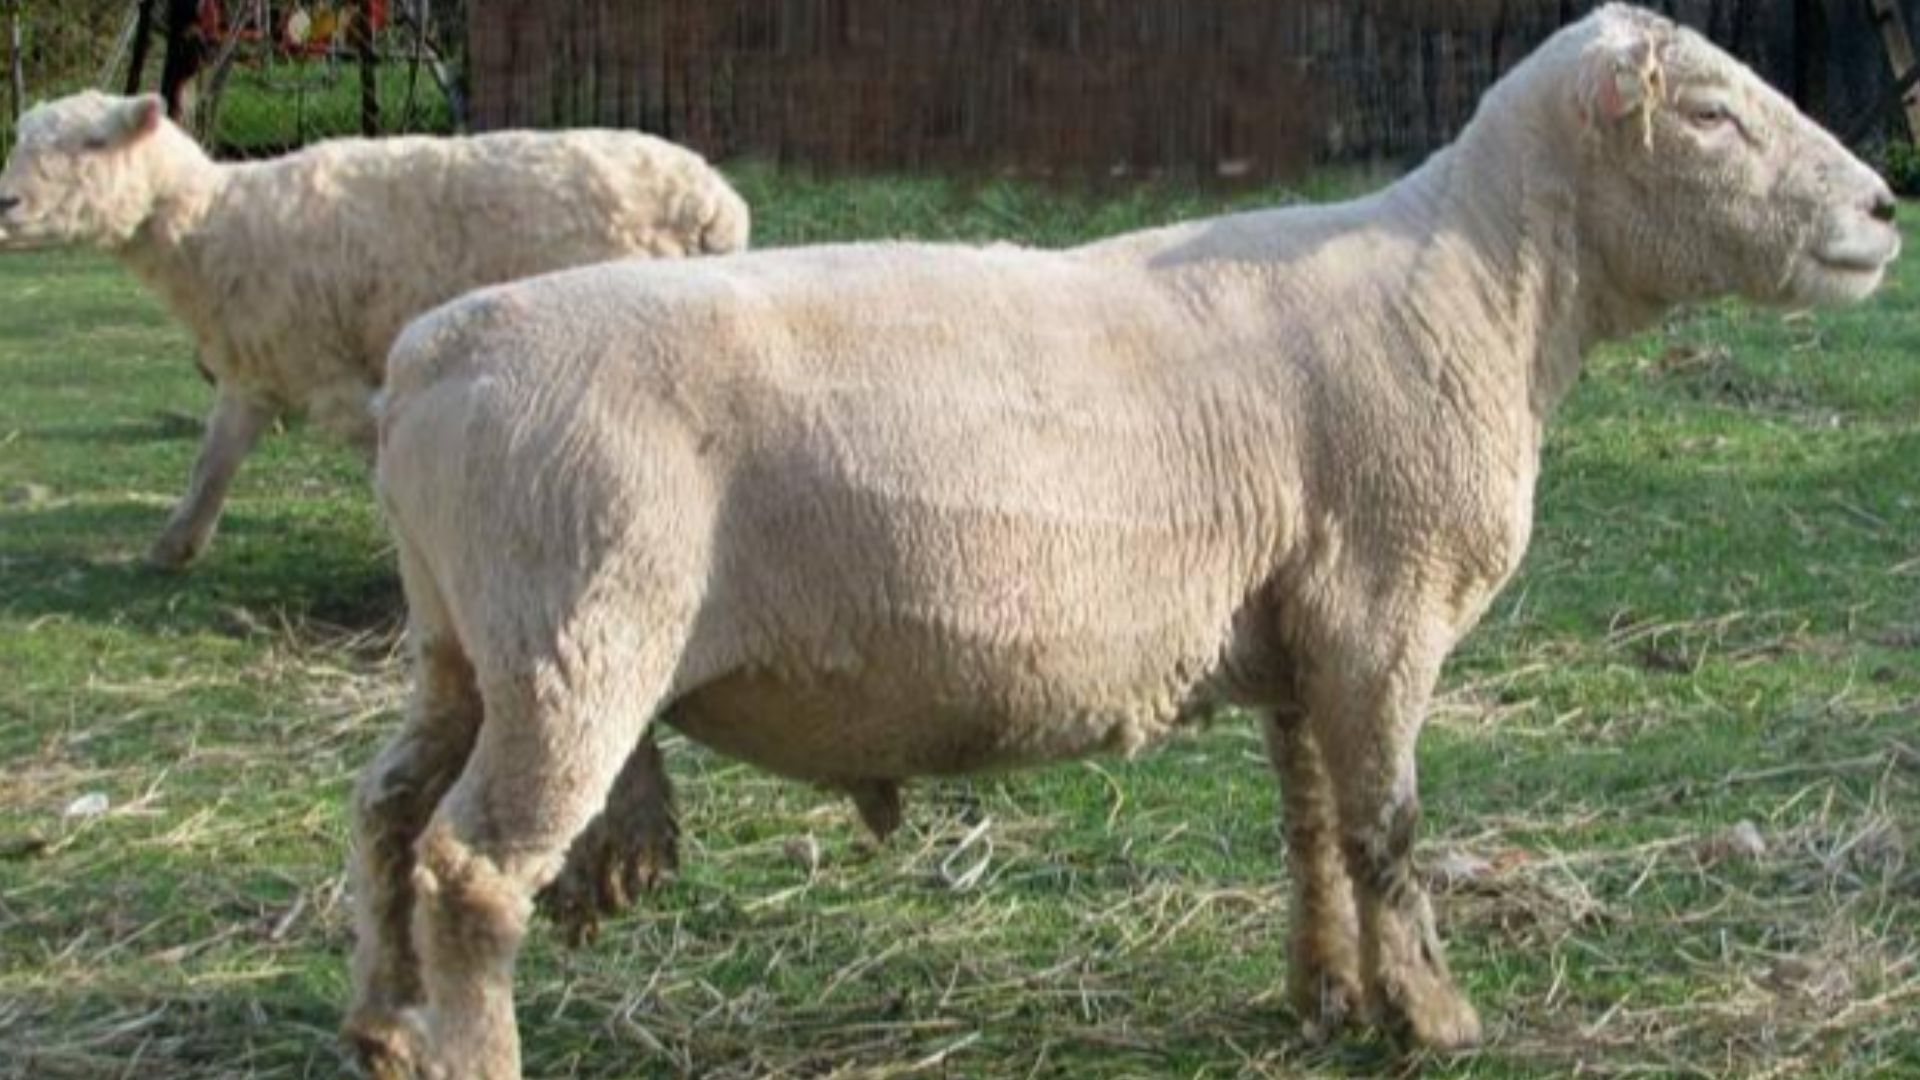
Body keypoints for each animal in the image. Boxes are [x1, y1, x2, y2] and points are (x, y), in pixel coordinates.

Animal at [0, 91, 749, 571]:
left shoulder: (333, 375)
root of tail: (712, 203)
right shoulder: (257, 372)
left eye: (94, 142)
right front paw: (172, 547)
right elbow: (211, 462)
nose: (4, 202)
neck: (213, 222)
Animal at [347, 6, 1899, 1075]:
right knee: (470, 871)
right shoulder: (1382, 608)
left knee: (386, 809)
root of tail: (430, 357)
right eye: (1713, 114)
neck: (1482, 291)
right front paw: (1433, 1014)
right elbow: (1389, 827)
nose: (1887, 208)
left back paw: (383, 1028)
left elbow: (1313, 825)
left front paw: (1330, 995)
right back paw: (470, 1051)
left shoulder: (1304, 629)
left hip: (465, 641)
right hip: (581, 636)